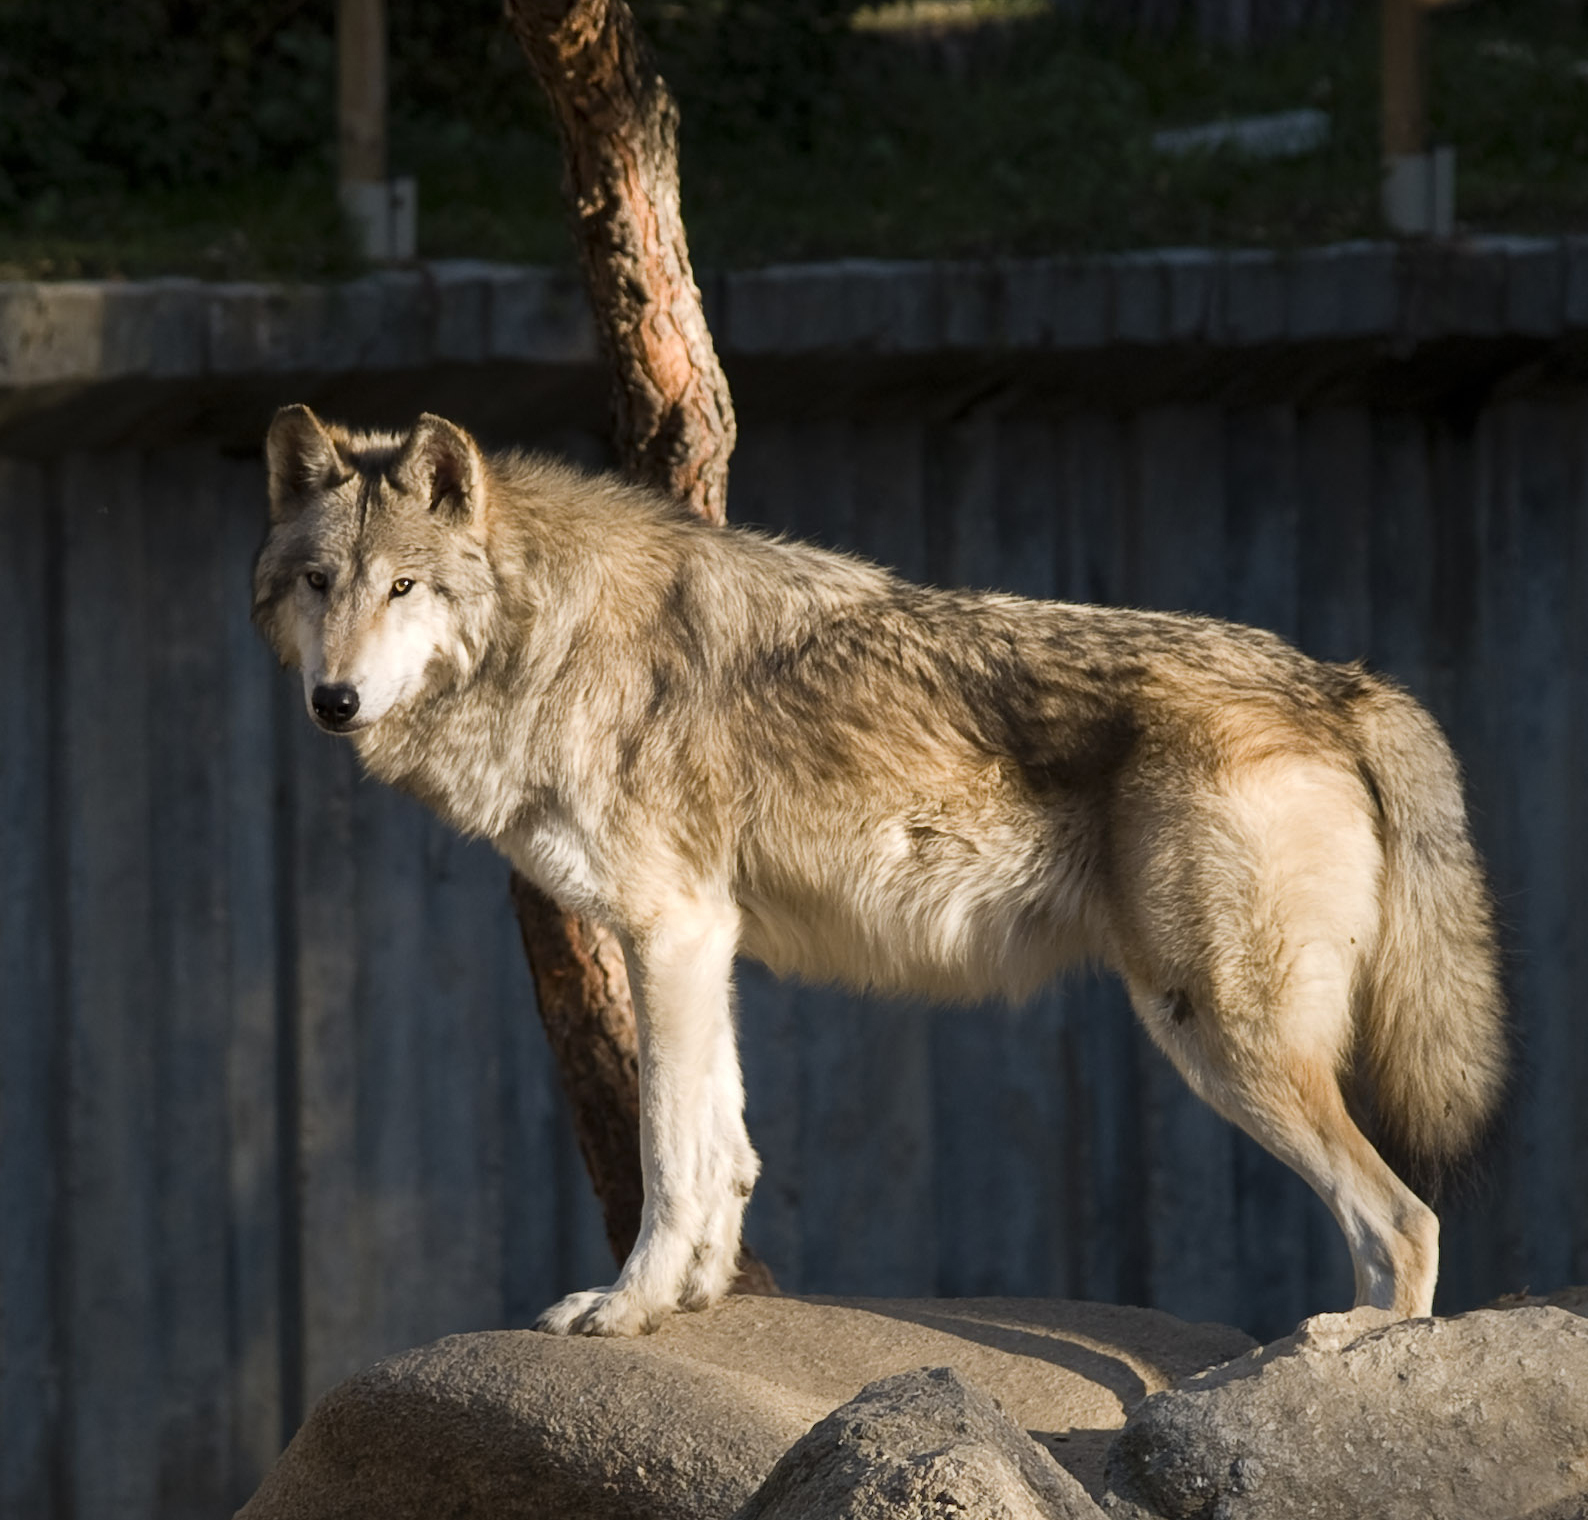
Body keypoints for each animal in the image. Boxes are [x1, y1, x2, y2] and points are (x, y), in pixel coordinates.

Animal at [254, 400, 1505, 1327]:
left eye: (403, 586)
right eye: (320, 582)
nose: (333, 701)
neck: (547, 633)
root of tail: (1338, 680)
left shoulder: (666, 932)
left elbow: (668, 1155)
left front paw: (627, 1306)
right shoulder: (700, 941)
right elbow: (725, 1145)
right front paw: (697, 1298)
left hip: (1219, 1031)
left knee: (1407, 1220)